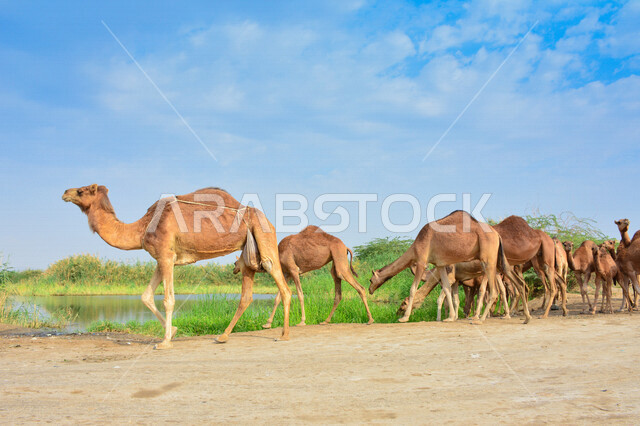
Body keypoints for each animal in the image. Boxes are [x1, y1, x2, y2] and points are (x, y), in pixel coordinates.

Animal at [62, 184, 292, 348]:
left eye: (82, 190)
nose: (65, 192)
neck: (142, 227)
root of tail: (268, 219)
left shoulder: (166, 255)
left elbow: (168, 300)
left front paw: (164, 342)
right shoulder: (162, 258)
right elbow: (146, 296)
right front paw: (172, 331)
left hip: (264, 237)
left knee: (282, 284)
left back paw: (284, 335)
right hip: (246, 253)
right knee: (246, 295)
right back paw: (223, 336)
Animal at [237, 226, 374, 328]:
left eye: (238, 261)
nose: (234, 268)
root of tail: (345, 246)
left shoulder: (294, 270)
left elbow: (300, 294)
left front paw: (302, 321)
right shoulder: (287, 273)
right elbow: (278, 297)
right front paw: (267, 324)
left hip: (338, 255)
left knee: (359, 287)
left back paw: (370, 320)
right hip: (335, 261)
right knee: (338, 291)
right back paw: (326, 321)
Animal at [369, 210, 531, 324]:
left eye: (370, 280)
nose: (370, 290)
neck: (415, 247)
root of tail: (497, 235)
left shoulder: (421, 261)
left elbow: (413, 289)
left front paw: (404, 318)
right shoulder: (441, 265)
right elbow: (447, 290)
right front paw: (450, 318)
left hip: (488, 260)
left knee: (494, 291)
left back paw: (480, 319)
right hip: (499, 261)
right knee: (518, 283)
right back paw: (526, 318)